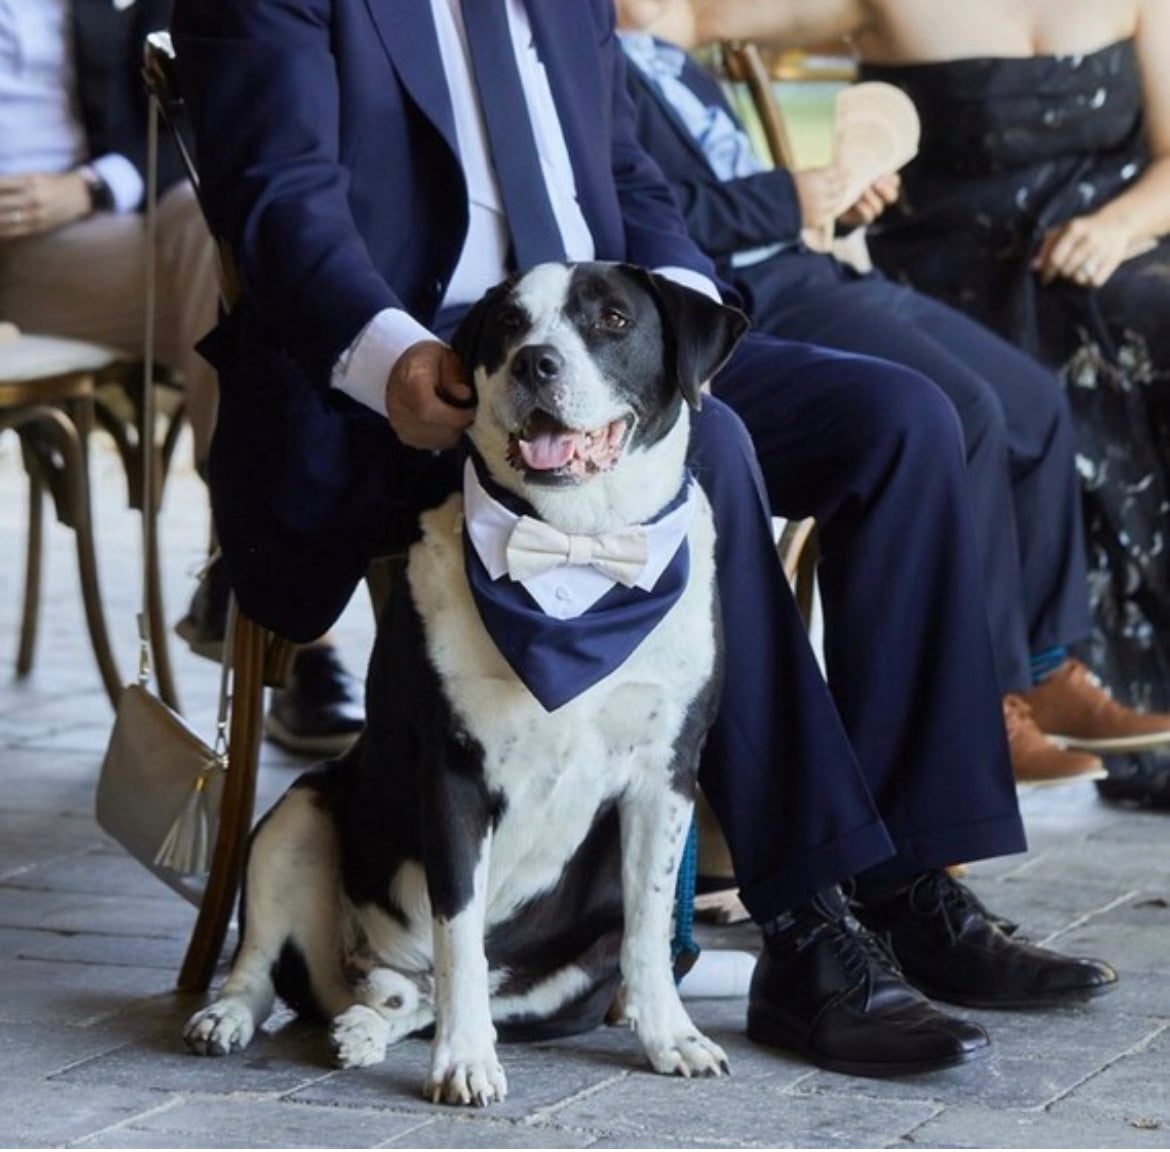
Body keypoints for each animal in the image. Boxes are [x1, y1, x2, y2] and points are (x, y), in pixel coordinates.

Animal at [182, 263, 748, 1104]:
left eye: (614, 320)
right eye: (510, 325)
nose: (535, 363)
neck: (574, 551)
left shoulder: (665, 775)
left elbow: (650, 927)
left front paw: (669, 1036)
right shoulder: (453, 772)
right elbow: (459, 935)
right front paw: (466, 1061)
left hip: (577, 956)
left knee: (416, 998)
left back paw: (367, 1025)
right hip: (300, 812)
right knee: (267, 963)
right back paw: (230, 1016)